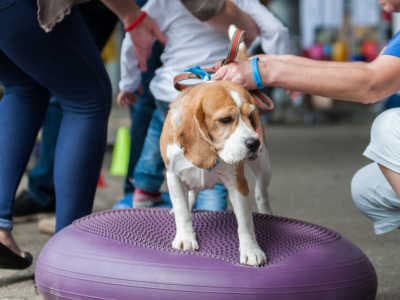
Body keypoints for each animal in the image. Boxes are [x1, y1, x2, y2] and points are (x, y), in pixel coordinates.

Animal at [160, 79, 272, 264]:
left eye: (251, 117)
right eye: (225, 119)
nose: (254, 143)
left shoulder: (238, 183)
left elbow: (245, 222)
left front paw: (251, 250)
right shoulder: (173, 176)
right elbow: (182, 210)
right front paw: (185, 237)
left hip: (263, 166)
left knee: (261, 193)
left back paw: (266, 212)